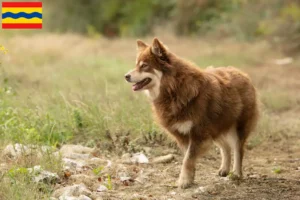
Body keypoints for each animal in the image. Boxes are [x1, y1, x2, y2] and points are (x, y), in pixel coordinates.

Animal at [123, 38, 258, 189]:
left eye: (144, 66)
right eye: (136, 65)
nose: (126, 76)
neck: (173, 89)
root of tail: (242, 73)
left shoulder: (198, 133)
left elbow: (188, 160)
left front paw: (184, 181)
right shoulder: (184, 135)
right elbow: (188, 159)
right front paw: (190, 179)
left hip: (237, 128)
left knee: (238, 149)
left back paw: (236, 174)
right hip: (215, 127)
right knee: (226, 147)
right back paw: (224, 169)